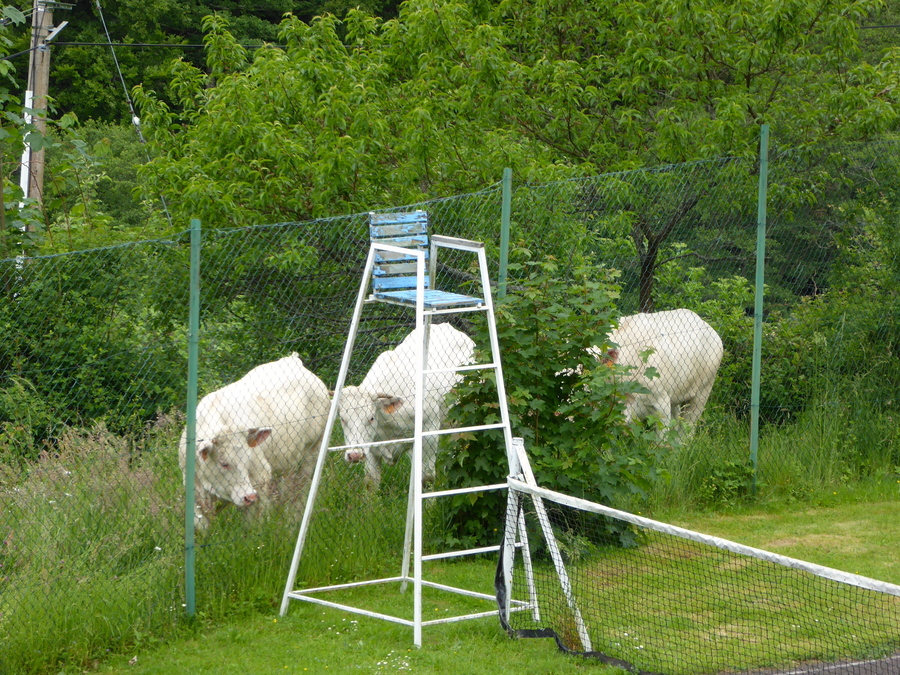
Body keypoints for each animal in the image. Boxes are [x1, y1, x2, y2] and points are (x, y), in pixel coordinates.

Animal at [178, 352, 330, 532]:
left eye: (246, 460)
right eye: (224, 463)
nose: (248, 496)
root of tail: (292, 360)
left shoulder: (260, 477)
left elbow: (254, 524)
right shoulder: (193, 490)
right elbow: (201, 526)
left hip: (312, 452)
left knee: (298, 494)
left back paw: (291, 525)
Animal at [338, 324, 478, 488]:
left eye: (371, 418)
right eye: (342, 419)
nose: (354, 455)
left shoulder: (429, 432)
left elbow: (427, 477)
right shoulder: (371, 446)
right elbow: (372, 481)